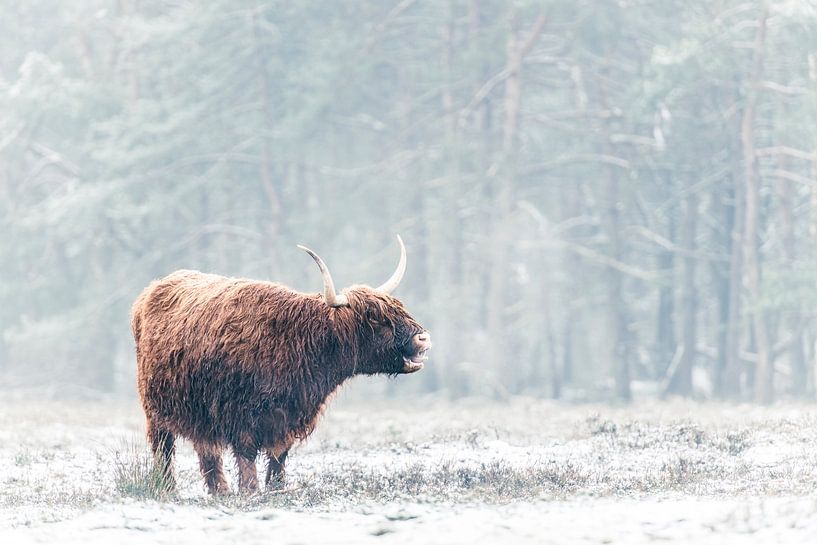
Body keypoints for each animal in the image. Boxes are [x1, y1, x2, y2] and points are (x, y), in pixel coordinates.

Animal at [131, 236, 431, 495]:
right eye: (376, 317)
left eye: (399, 307)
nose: (423, 337)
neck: (301, 340)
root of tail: (151, 291)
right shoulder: (242, 415)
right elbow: (247, 457)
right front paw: (250, 492)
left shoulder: (287, 418)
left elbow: (278, 459)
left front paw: (275, 489)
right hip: (155, 410)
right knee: (164, 450)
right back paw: (169, 488)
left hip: (200, 412)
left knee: (207, 451)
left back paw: (220, 491)